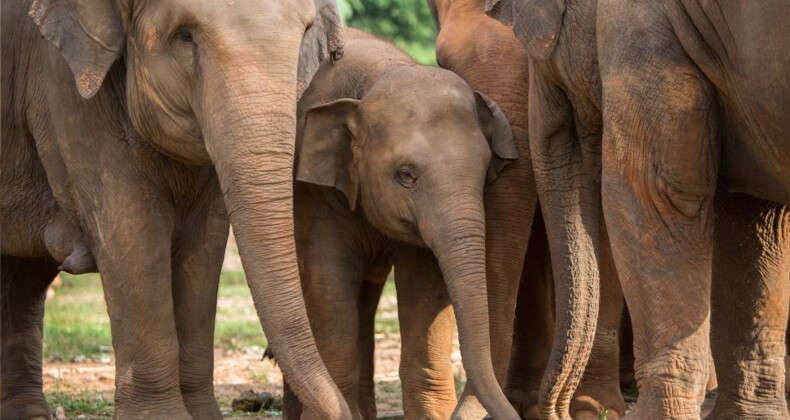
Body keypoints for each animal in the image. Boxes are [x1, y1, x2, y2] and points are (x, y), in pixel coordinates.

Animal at [0, 1, 352, 418]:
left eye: (305, 35)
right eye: (185, 36)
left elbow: (205, 244)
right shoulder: (63, 86)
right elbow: (132, 229)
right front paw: (161, 416)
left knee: (23, 277)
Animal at [284, 27, 520, 418]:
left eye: (485, 171)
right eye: (406, 175)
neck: (378, 73)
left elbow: (426, 287)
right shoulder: (314, 192)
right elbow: (329, 281)